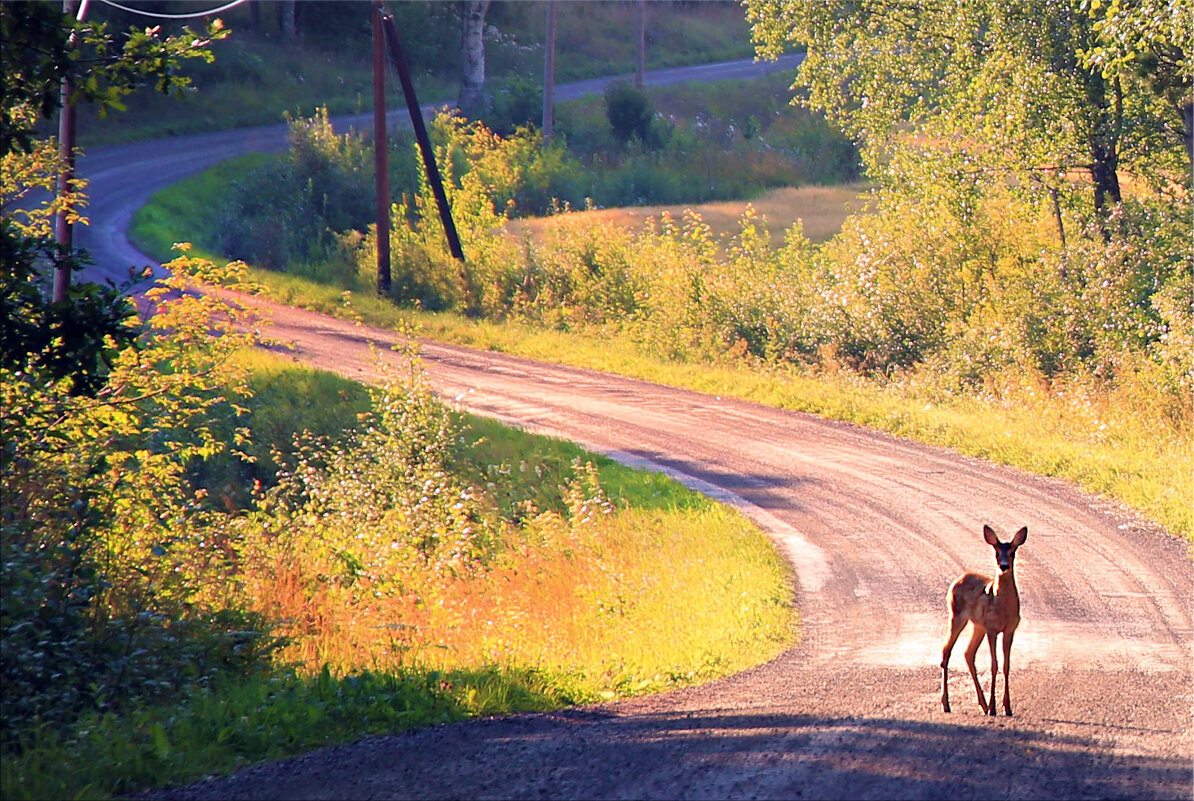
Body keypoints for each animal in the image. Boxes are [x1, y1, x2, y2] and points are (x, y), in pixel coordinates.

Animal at [940, 522, 1026, 716]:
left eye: (1012, 552)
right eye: (996, 553)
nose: (1004, 566)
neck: (1003, 607)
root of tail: (958, 579)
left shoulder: (1010, 629)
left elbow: (1006, 665)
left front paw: (1007, 708)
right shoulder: (992, 628)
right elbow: (994, 665)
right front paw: (994, 707)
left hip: (977, 626)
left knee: (968, 653)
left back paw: (983, 705)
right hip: (956, 615)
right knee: (946, 651)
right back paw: (946, 704)